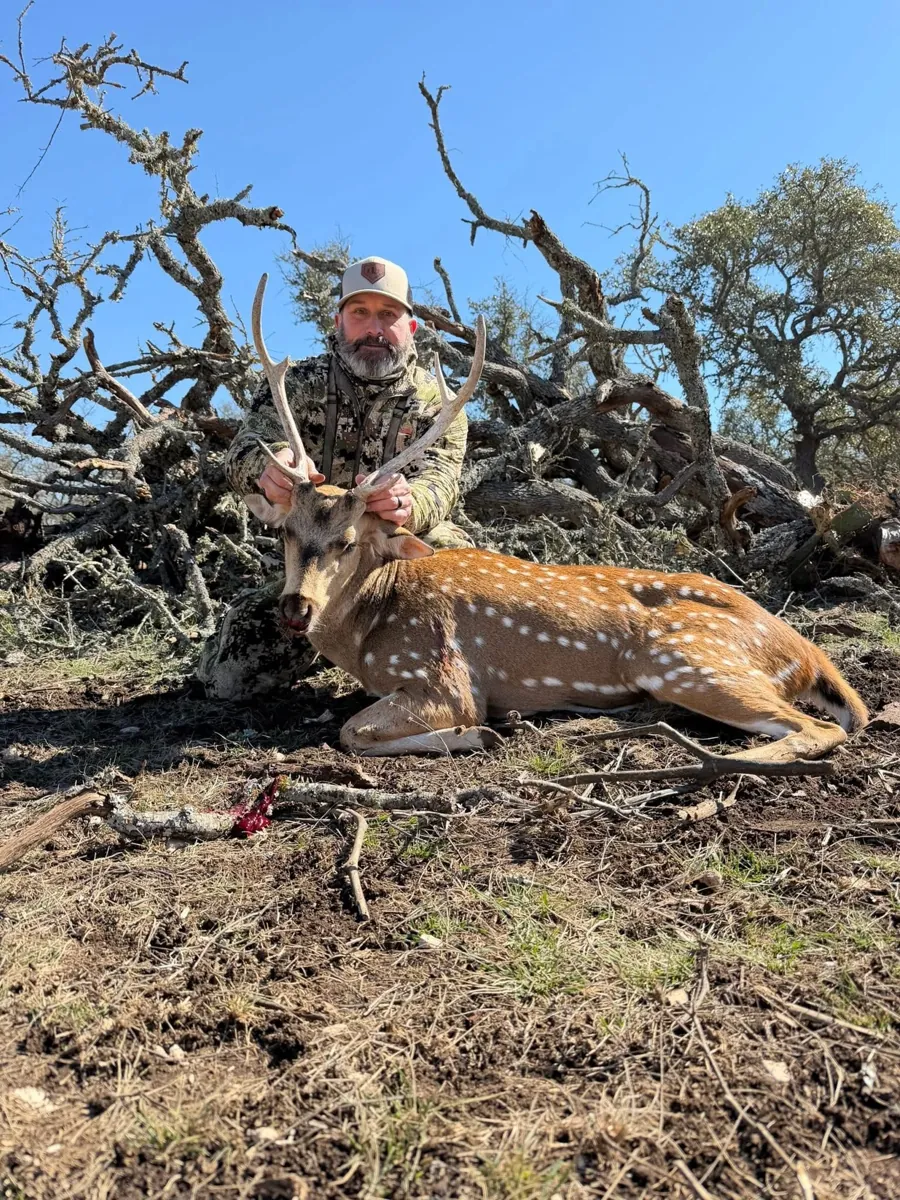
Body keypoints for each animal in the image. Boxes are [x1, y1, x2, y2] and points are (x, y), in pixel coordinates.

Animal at [242, 274, 868, 765]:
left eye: (348, 541)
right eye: (286, 531)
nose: (297, 608)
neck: (370, 636)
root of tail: (805, 652)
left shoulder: (445, 678)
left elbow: (353, 731)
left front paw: (480, 733)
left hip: (689, 661)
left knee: (816, 727)